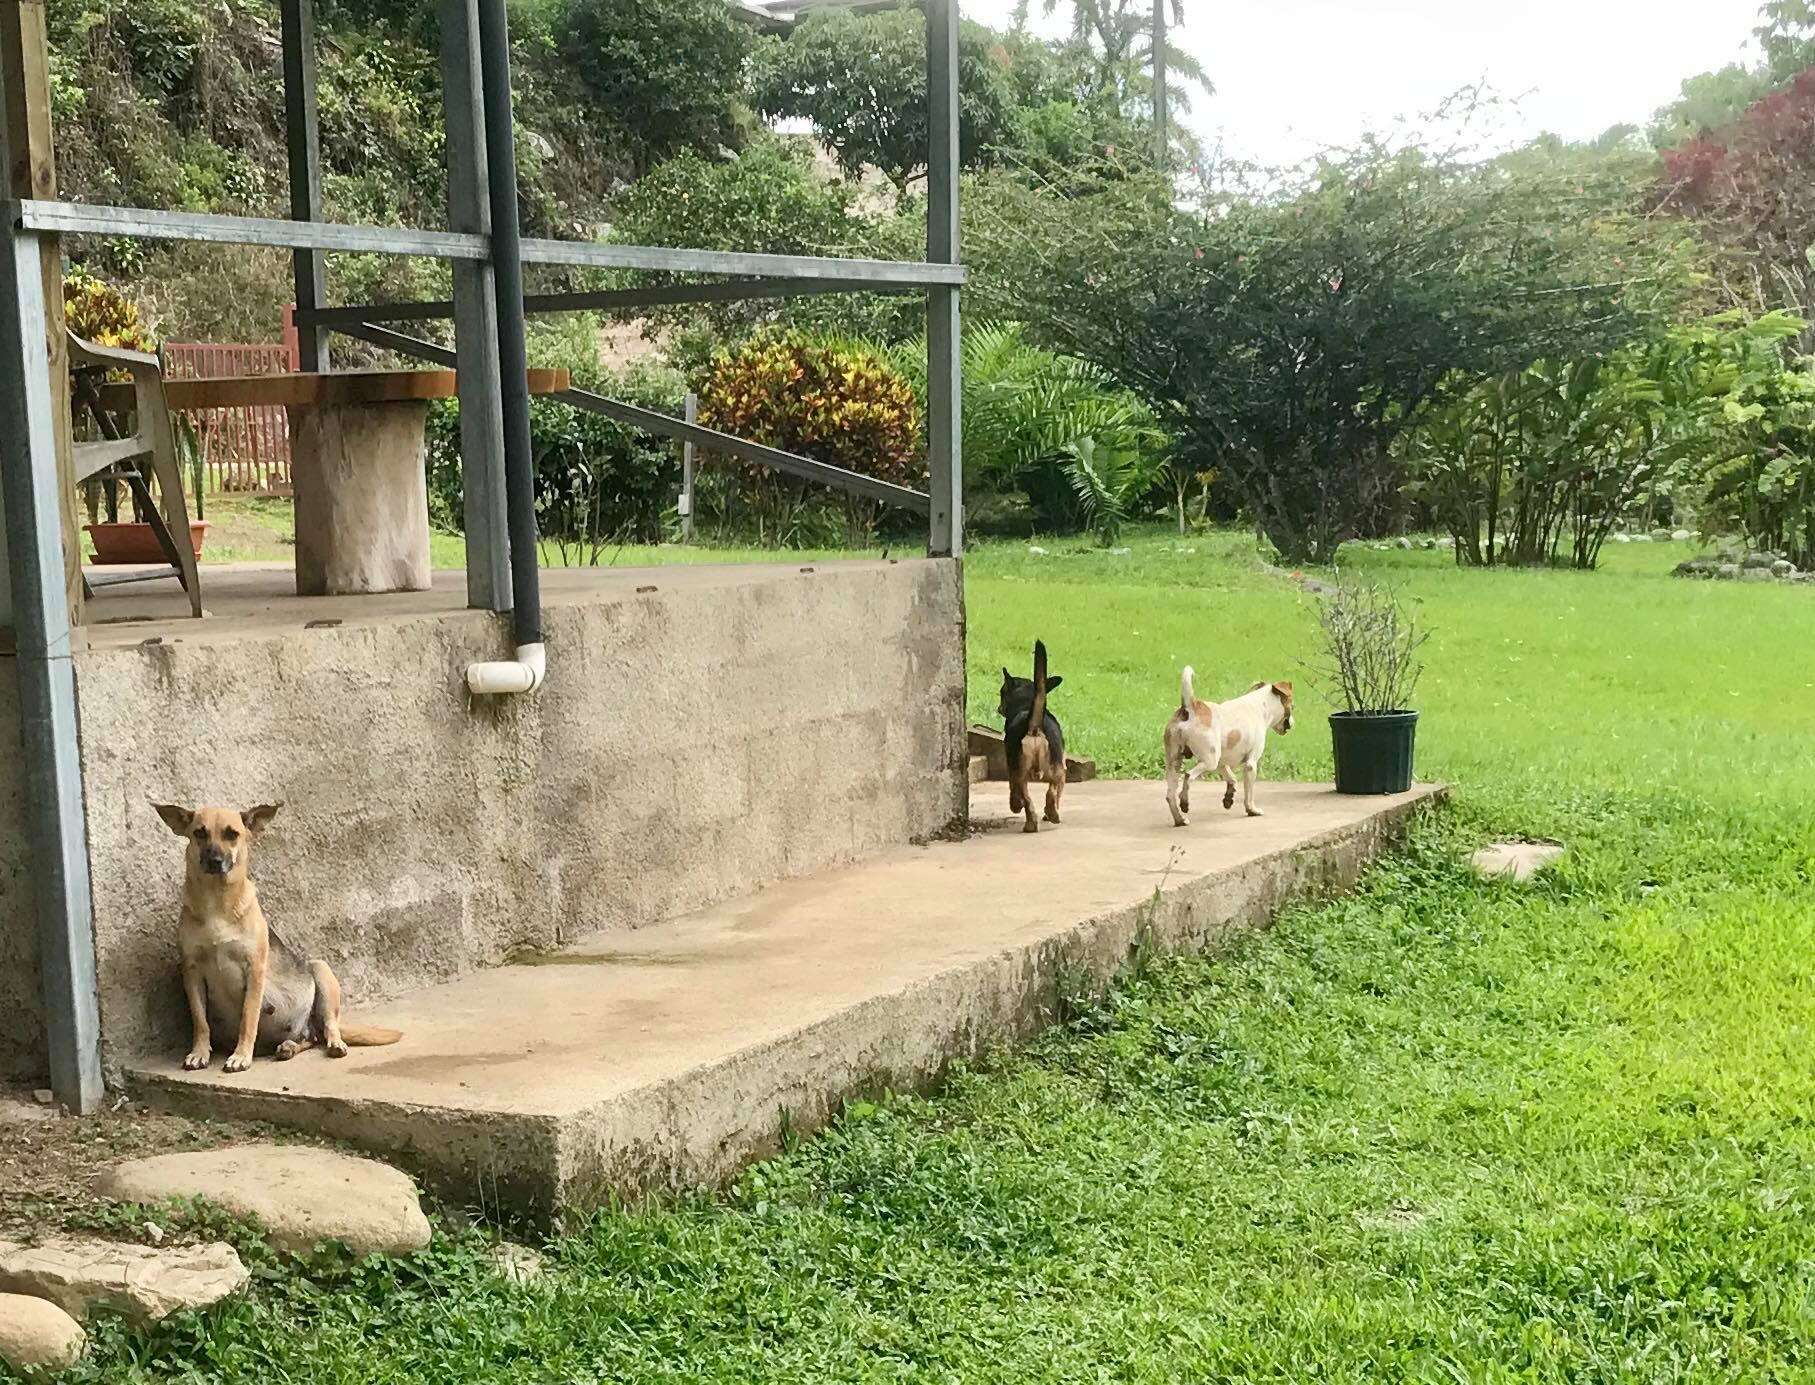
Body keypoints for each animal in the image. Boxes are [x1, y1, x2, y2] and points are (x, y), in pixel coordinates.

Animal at [153, 802, 401, 1074]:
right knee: (311, 1038)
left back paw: (333, 1043)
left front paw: (241, 1056)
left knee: (329, 1026)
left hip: (321, 971)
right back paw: (289, 1047)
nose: (215, 861)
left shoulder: (254, 969)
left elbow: (248, 1019)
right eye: (200, 833)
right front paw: (199, 1053)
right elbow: (200, 1022)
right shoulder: (192, 972)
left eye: (232, 834)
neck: (217, 901)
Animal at [994, 642, 1059, 834]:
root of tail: (1034, 726)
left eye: (1002, 693)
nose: (998, 708)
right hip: (1058, 768)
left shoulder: (1011, 767)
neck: (1025, 705)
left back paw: (1031, 822)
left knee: (1028, 798)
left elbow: (1012, 789)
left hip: (1021, 771)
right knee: (1052, 792)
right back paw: (1051, 815)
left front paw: (1015, 804)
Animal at [1161, 667, 1292, 827]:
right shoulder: (1251, 764)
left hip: (1174, 761)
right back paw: (1184, 803)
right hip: (1209, 761)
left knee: (1170, 795)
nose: (1292, 723)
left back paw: (1180, 819)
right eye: (1292, 705)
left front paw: (1229, 797)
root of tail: (1190, 706)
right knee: (1188, 776)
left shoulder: (1221, 763)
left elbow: (1232, 778)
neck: (1261, 706)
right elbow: (1249, 793)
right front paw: (1252, 810)